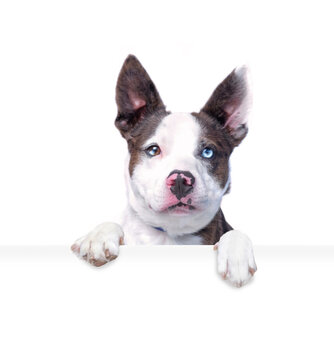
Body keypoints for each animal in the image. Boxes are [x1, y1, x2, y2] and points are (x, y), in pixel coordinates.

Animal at [72, 54, 258, 288]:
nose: (180, 180)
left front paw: (236, 254)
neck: (171, 234)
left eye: (208, 152)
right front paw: (98, 236)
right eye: (153, 150)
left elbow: (235, 233)